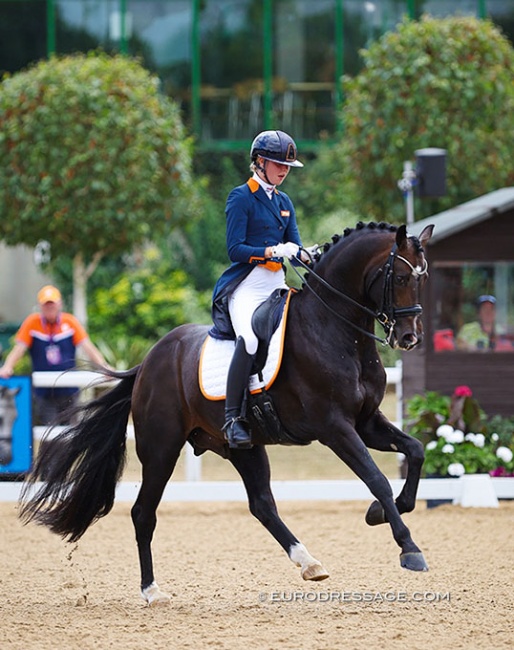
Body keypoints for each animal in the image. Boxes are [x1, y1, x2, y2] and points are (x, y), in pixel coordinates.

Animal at [20, 221, 430, 604]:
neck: (336, 331)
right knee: (143, 513)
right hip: (161, 449)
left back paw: (309, 562)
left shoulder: (366, 422)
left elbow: (416, 451)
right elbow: (376, 478)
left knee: (262, 504)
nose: (409, 338)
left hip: (241, 447)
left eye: (423, 277)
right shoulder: (336, 428)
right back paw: (152, 590)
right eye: (401, 277)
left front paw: (383, 511)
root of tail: (149, 361)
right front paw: (409, 549)